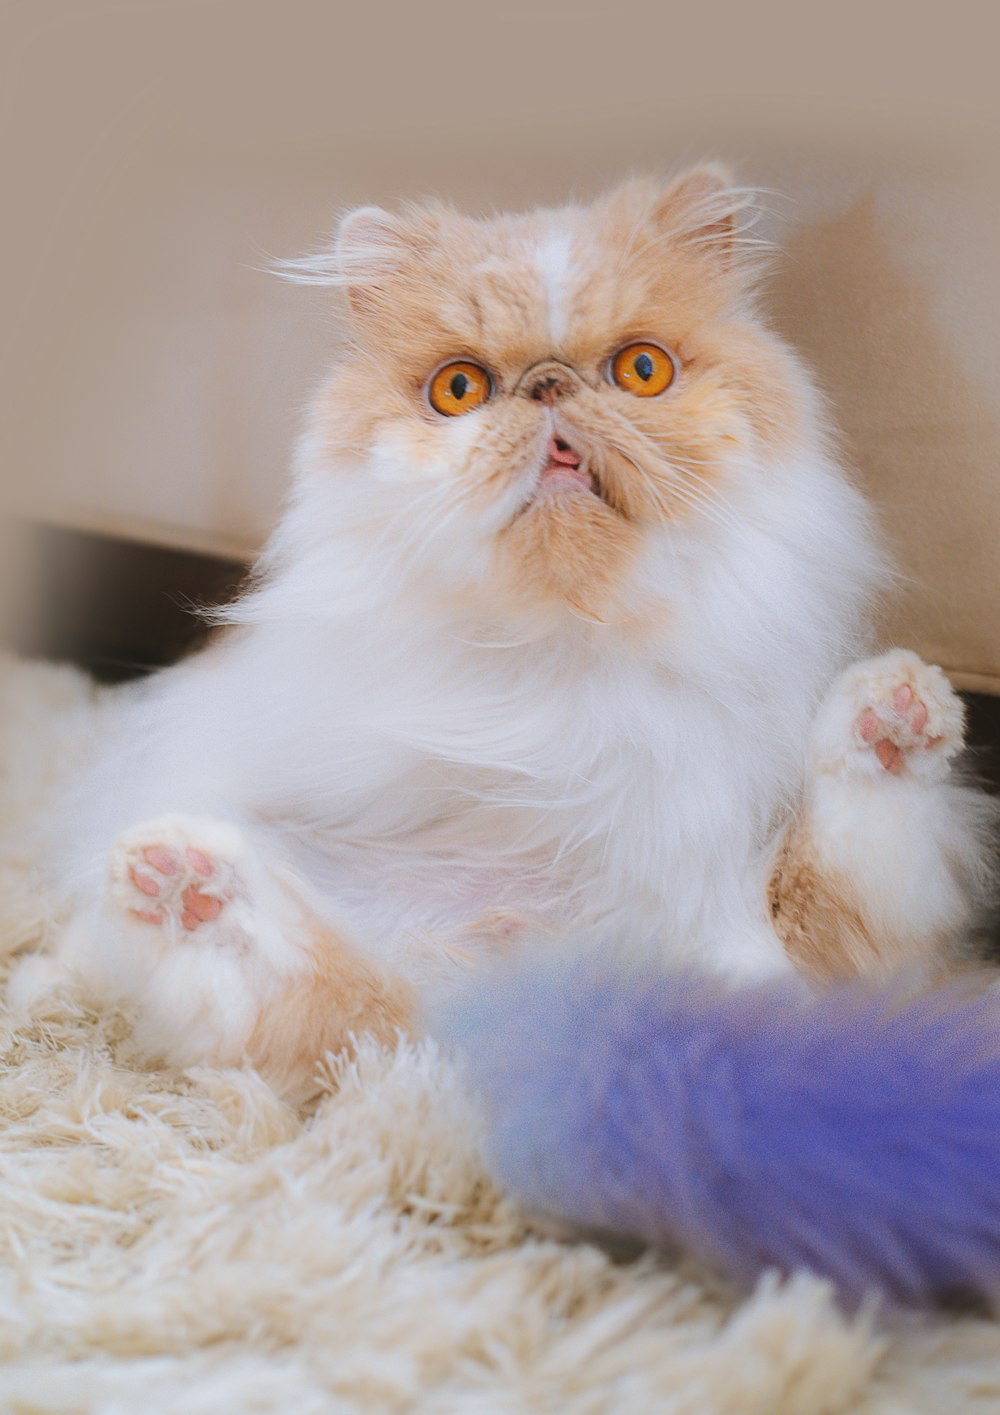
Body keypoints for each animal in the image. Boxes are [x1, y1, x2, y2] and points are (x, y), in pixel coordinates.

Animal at [11, 162, 995, 1092]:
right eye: (460, 388)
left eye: (641, 370)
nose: (549, 385)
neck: (564, 645)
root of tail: (508, 994)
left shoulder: (771, 901)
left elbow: (842, 871)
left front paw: (901, 710)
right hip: (359, 946)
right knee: (308, 995)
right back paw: (179, 882)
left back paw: (894, 716)